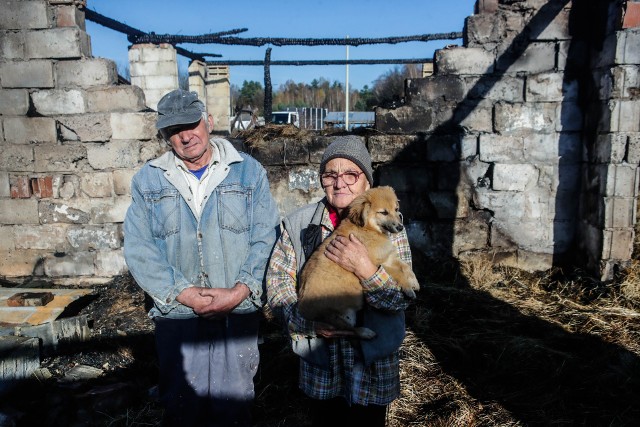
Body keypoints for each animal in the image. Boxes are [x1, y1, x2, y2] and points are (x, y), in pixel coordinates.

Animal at [298, 186, 420, 340]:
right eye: (383, 212)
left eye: (396, 209)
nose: (400, 227)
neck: (369, 229)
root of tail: (303, 310)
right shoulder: (378, 263)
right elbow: (398, 273)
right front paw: (408, 289)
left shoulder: (388, 257)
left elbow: (405, 266)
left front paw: (415, 282)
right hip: (336, 317)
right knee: (349, 330)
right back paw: (366, 332)